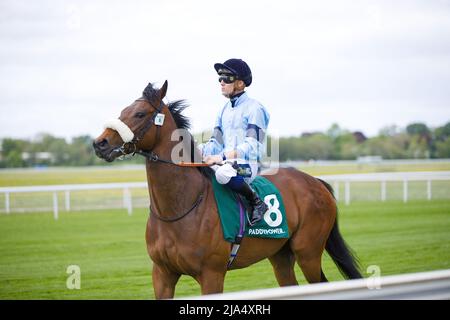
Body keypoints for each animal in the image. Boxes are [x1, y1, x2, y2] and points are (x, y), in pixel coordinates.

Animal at [93, 80, 364, 300]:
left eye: (139, 113)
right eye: (122, 112)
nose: (100, 143)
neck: (179, 210)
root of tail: (316, 182)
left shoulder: (211, 274)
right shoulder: (162, 273)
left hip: (308, 251)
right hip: (281, 254)